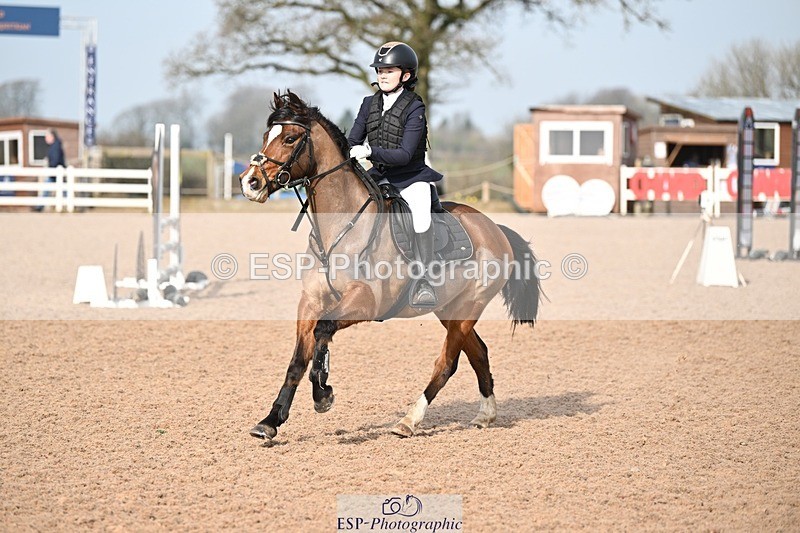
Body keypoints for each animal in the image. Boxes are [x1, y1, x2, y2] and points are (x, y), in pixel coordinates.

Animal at [239, 90, 540, 441]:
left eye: (289, 138)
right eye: (266, 136)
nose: (250, 182)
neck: (341, 227)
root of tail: (494, 228)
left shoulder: (365, 303)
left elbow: (323, 331)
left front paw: (322, 393)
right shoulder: (311, 302)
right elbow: (298, 360)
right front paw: (270, 421)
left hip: (468, 307)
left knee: (447, 363)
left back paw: (409, 421)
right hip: (450, 309)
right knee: (478, 352)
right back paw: (485, 415)